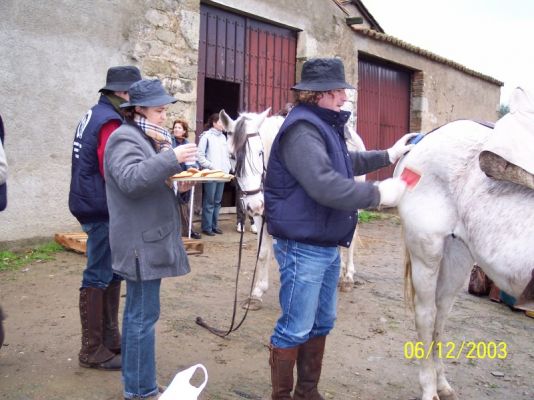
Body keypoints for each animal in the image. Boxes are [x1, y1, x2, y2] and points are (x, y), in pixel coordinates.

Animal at [220, 108, 366, 310]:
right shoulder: (262, 216)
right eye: (231, 156)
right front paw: (257, 293)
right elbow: (263, 253)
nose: (254, 205)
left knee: (351, 238)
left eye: (260, 153)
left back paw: (348, 277)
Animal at [396, 119, 534, 400]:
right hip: (426, 252)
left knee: (440, 315)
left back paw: (441, 383)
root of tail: (424, 138)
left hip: (457, 257)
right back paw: (429, 388)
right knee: (426, 316)